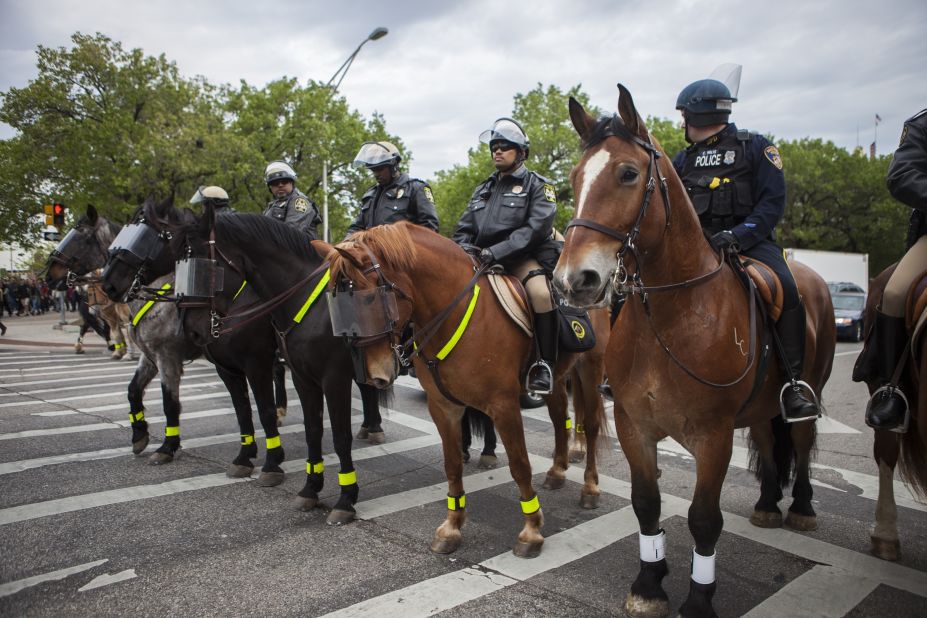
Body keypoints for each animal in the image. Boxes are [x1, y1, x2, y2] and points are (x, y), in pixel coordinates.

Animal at [326, 223, 608, 560]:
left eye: (368, 300)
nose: (373, 374)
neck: (454, 313)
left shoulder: (503, 406)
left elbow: (519, 465)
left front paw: (531, 530)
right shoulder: (443, 407)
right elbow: (452, 465)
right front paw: (452, 527)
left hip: (590, 369)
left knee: (590, 425)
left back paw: (590, 488)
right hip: (559, 379)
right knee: (558, 418)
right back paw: (557, 472)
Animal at [548, 88, 836, 616]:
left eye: (628, 173)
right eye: (575, 178)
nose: (573, 280)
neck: (672, 312)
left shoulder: (713, 435)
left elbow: (704, 518)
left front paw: (699, 599)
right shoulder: (635, 425)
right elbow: (646, 503)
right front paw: (649, 582)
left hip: (807, 394)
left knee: (801, 444)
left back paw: (802, 507)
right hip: (760, 409)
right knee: (768, 441)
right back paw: (768, 503)